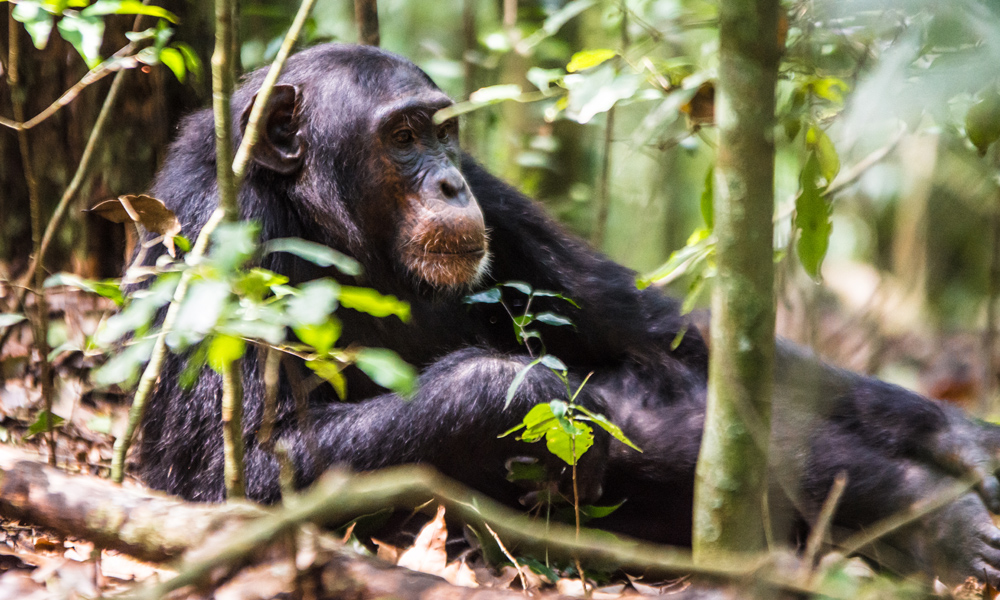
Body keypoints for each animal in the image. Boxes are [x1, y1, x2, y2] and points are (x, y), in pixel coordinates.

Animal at [135, 43, 1000, 584]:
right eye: (403, 135)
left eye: (441, 133)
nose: (448, 182)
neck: (327, 220)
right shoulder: (216, 236)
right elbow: (222, 474)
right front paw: (512, 388)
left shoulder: (498, 197)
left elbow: (655, 328)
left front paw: (957, 437)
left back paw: (929, 514)